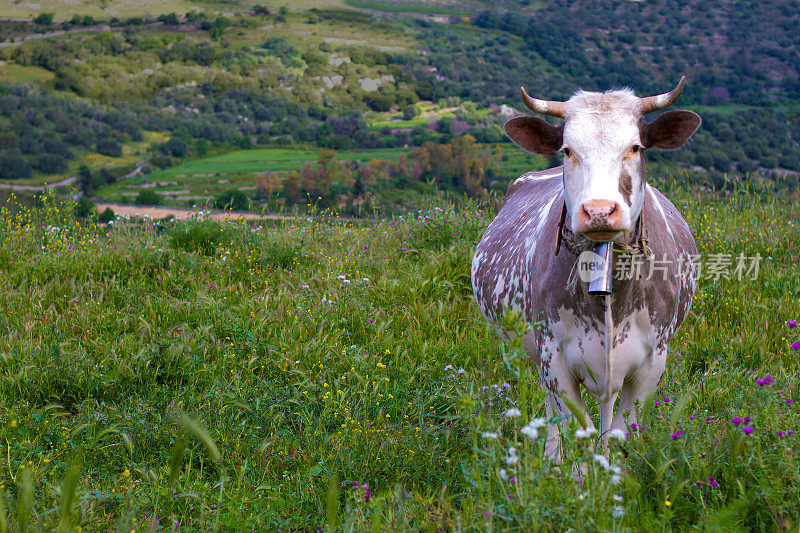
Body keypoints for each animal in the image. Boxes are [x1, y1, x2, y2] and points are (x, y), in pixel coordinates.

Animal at [472, 78, 704, 458]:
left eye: (635, 147)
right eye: (567, 150)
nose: (598, 211)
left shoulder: (653, 362)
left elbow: (620, 435)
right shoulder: (553, 355)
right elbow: (576, 431)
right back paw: (551, 457)